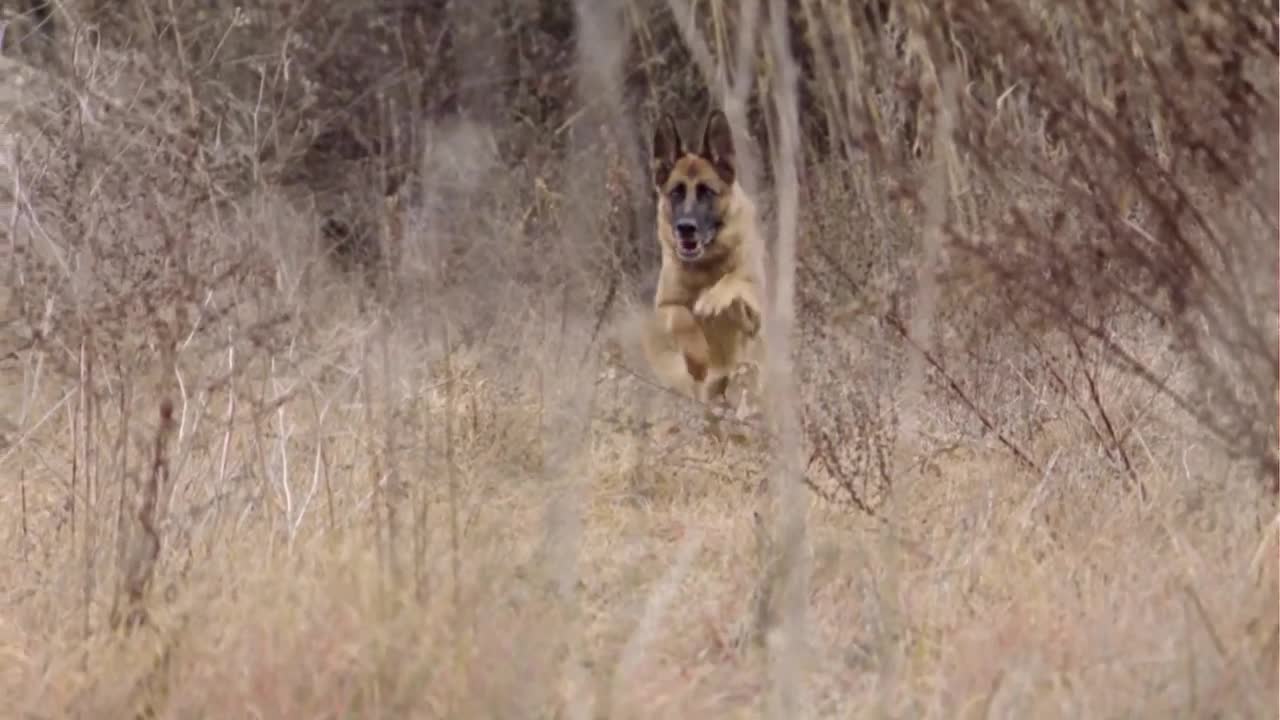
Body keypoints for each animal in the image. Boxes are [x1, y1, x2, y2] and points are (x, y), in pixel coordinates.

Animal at [645, 109, 762, 407]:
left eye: (707, 192)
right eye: (676, 192)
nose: (685, 227)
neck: (705, 266)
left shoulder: (756, 317)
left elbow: (736, 280)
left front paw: (713, 299)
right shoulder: (663, 307)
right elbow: (682, 316)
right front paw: (698, 358)